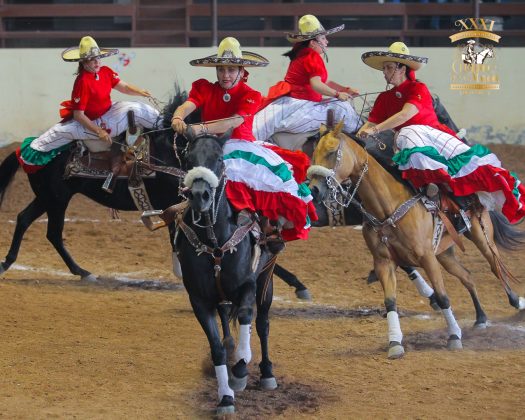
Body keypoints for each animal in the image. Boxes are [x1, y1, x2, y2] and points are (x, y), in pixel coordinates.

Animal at [173, 128, 278, 416]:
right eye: (188, 159)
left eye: (219, 158)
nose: (200, 195)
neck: (215, 242)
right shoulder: (198, 299)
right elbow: (217, 348)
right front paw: (226, 397)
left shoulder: (248, 285)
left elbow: (245, 316)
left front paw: (240, 370)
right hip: (220, 296)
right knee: (226, 323)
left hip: (267, 280)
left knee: (262, 324)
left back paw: (266, 373)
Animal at [308, 123, 524, 360]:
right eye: (314, 153)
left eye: (331, 152)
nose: (314, 190)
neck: (388, 208)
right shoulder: (384, 262)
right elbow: (390, 301)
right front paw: (395, 343)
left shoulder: (427, 258)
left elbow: (442, 297)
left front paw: (454, 336)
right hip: (445, 254)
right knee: (467, 276)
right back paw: (481, 318)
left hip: (480, 236)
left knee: (495, 266)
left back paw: (517, 302)